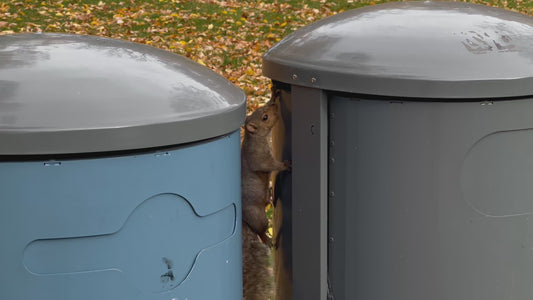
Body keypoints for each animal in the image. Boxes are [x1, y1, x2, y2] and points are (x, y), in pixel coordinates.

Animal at [242, 87, 290, 246]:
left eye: (262, 108)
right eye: (265, 117)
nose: (276, 106)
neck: (257, 137)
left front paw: (274, 94)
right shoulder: (260, 158)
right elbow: (270, 165)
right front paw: (285, 165)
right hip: (258, 216)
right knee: (261, 231)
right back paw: (267, 240)